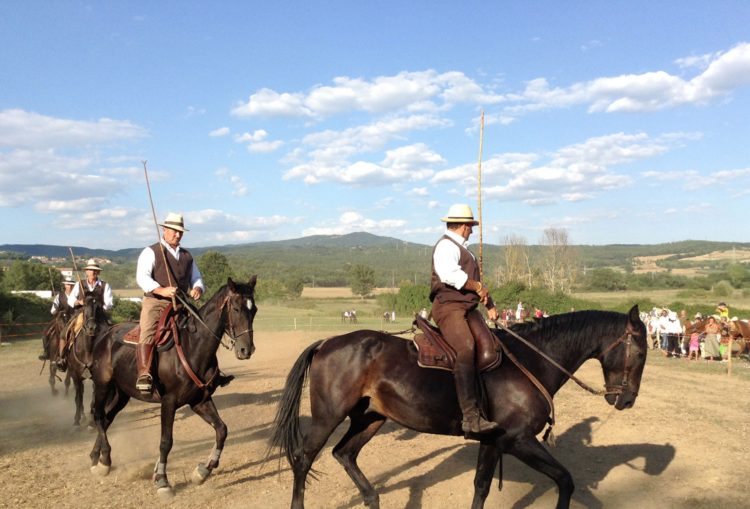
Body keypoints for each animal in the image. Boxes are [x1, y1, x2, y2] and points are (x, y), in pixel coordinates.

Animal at [87, 276, 258, 498]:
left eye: (254, 310)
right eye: (236, 308)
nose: (246, 350)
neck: (192, 346)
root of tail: (105, 334)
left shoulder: (200, 401)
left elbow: (222, 430)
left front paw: (202, 471)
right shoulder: (168, 402)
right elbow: (166, 441)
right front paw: (162, 480)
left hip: (122, 393)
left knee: (107, 418)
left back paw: (96, 459)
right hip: (102, 385)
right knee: (99, 416)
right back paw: (105, 460)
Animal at [274, 306, 648, 508]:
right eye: (642, 352)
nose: (627, 400)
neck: (532, 361)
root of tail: (327, 343)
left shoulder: (493, 442)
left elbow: (482, 487)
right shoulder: (517, 440)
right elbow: (566, 480)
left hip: (370, 418)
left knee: (345, 454)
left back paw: (373, 499)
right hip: (328, 416)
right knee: (304, 458)